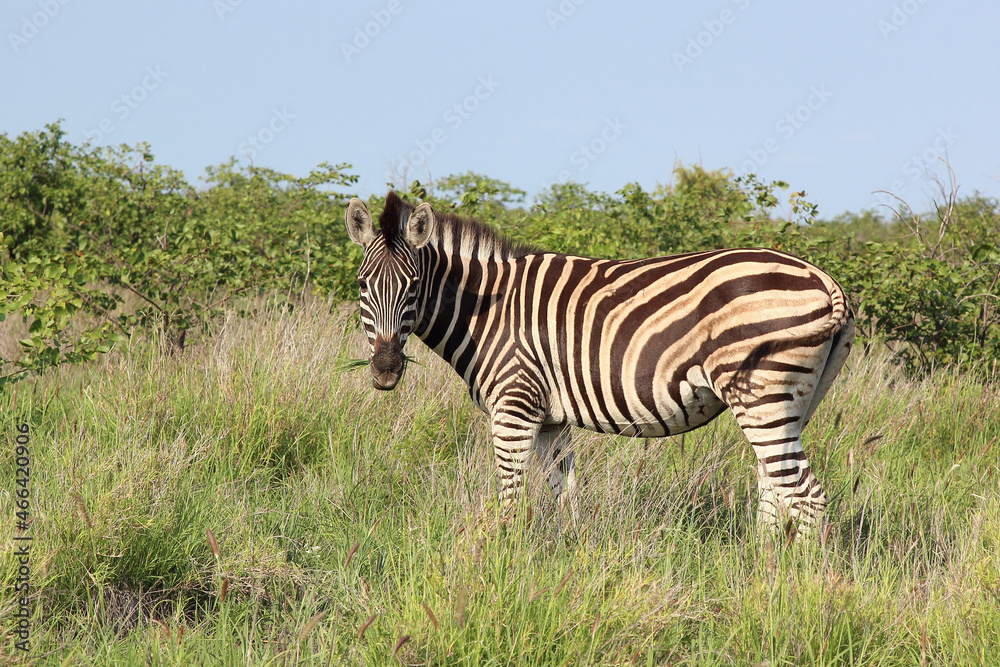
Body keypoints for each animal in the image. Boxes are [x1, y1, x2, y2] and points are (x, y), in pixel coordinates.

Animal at [345, 191, 854, 530]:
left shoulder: (514, 406)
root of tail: (824, 278)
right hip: (792, 403)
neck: (486, 309)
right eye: (362, 285)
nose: (386, 371)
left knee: (806, 496)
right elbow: (564, 496)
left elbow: (510, 499)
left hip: (762, 394)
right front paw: (566, 561)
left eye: (413, 287)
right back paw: (760, 571)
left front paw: (503, 566)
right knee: (776, 489)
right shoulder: (550, 418)